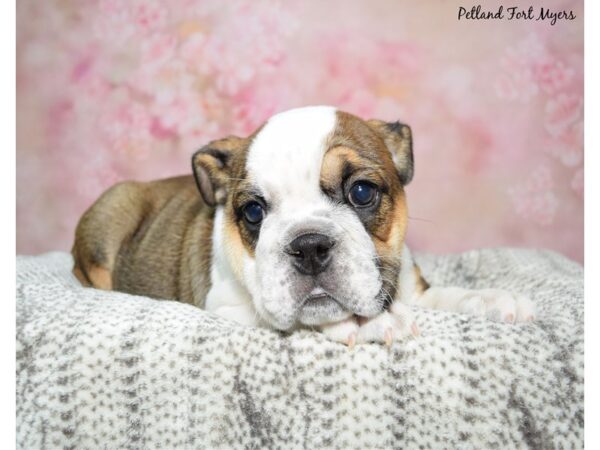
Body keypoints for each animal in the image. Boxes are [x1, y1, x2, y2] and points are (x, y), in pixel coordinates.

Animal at [72, 107, 536, 346]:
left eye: (362, 192)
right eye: (253, 212)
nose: (309, 245)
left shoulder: (410, 285)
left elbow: (447, 295)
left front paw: (490, 298)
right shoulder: (229, 307)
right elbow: (297, 318)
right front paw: (363, 323)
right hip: (109, 217)